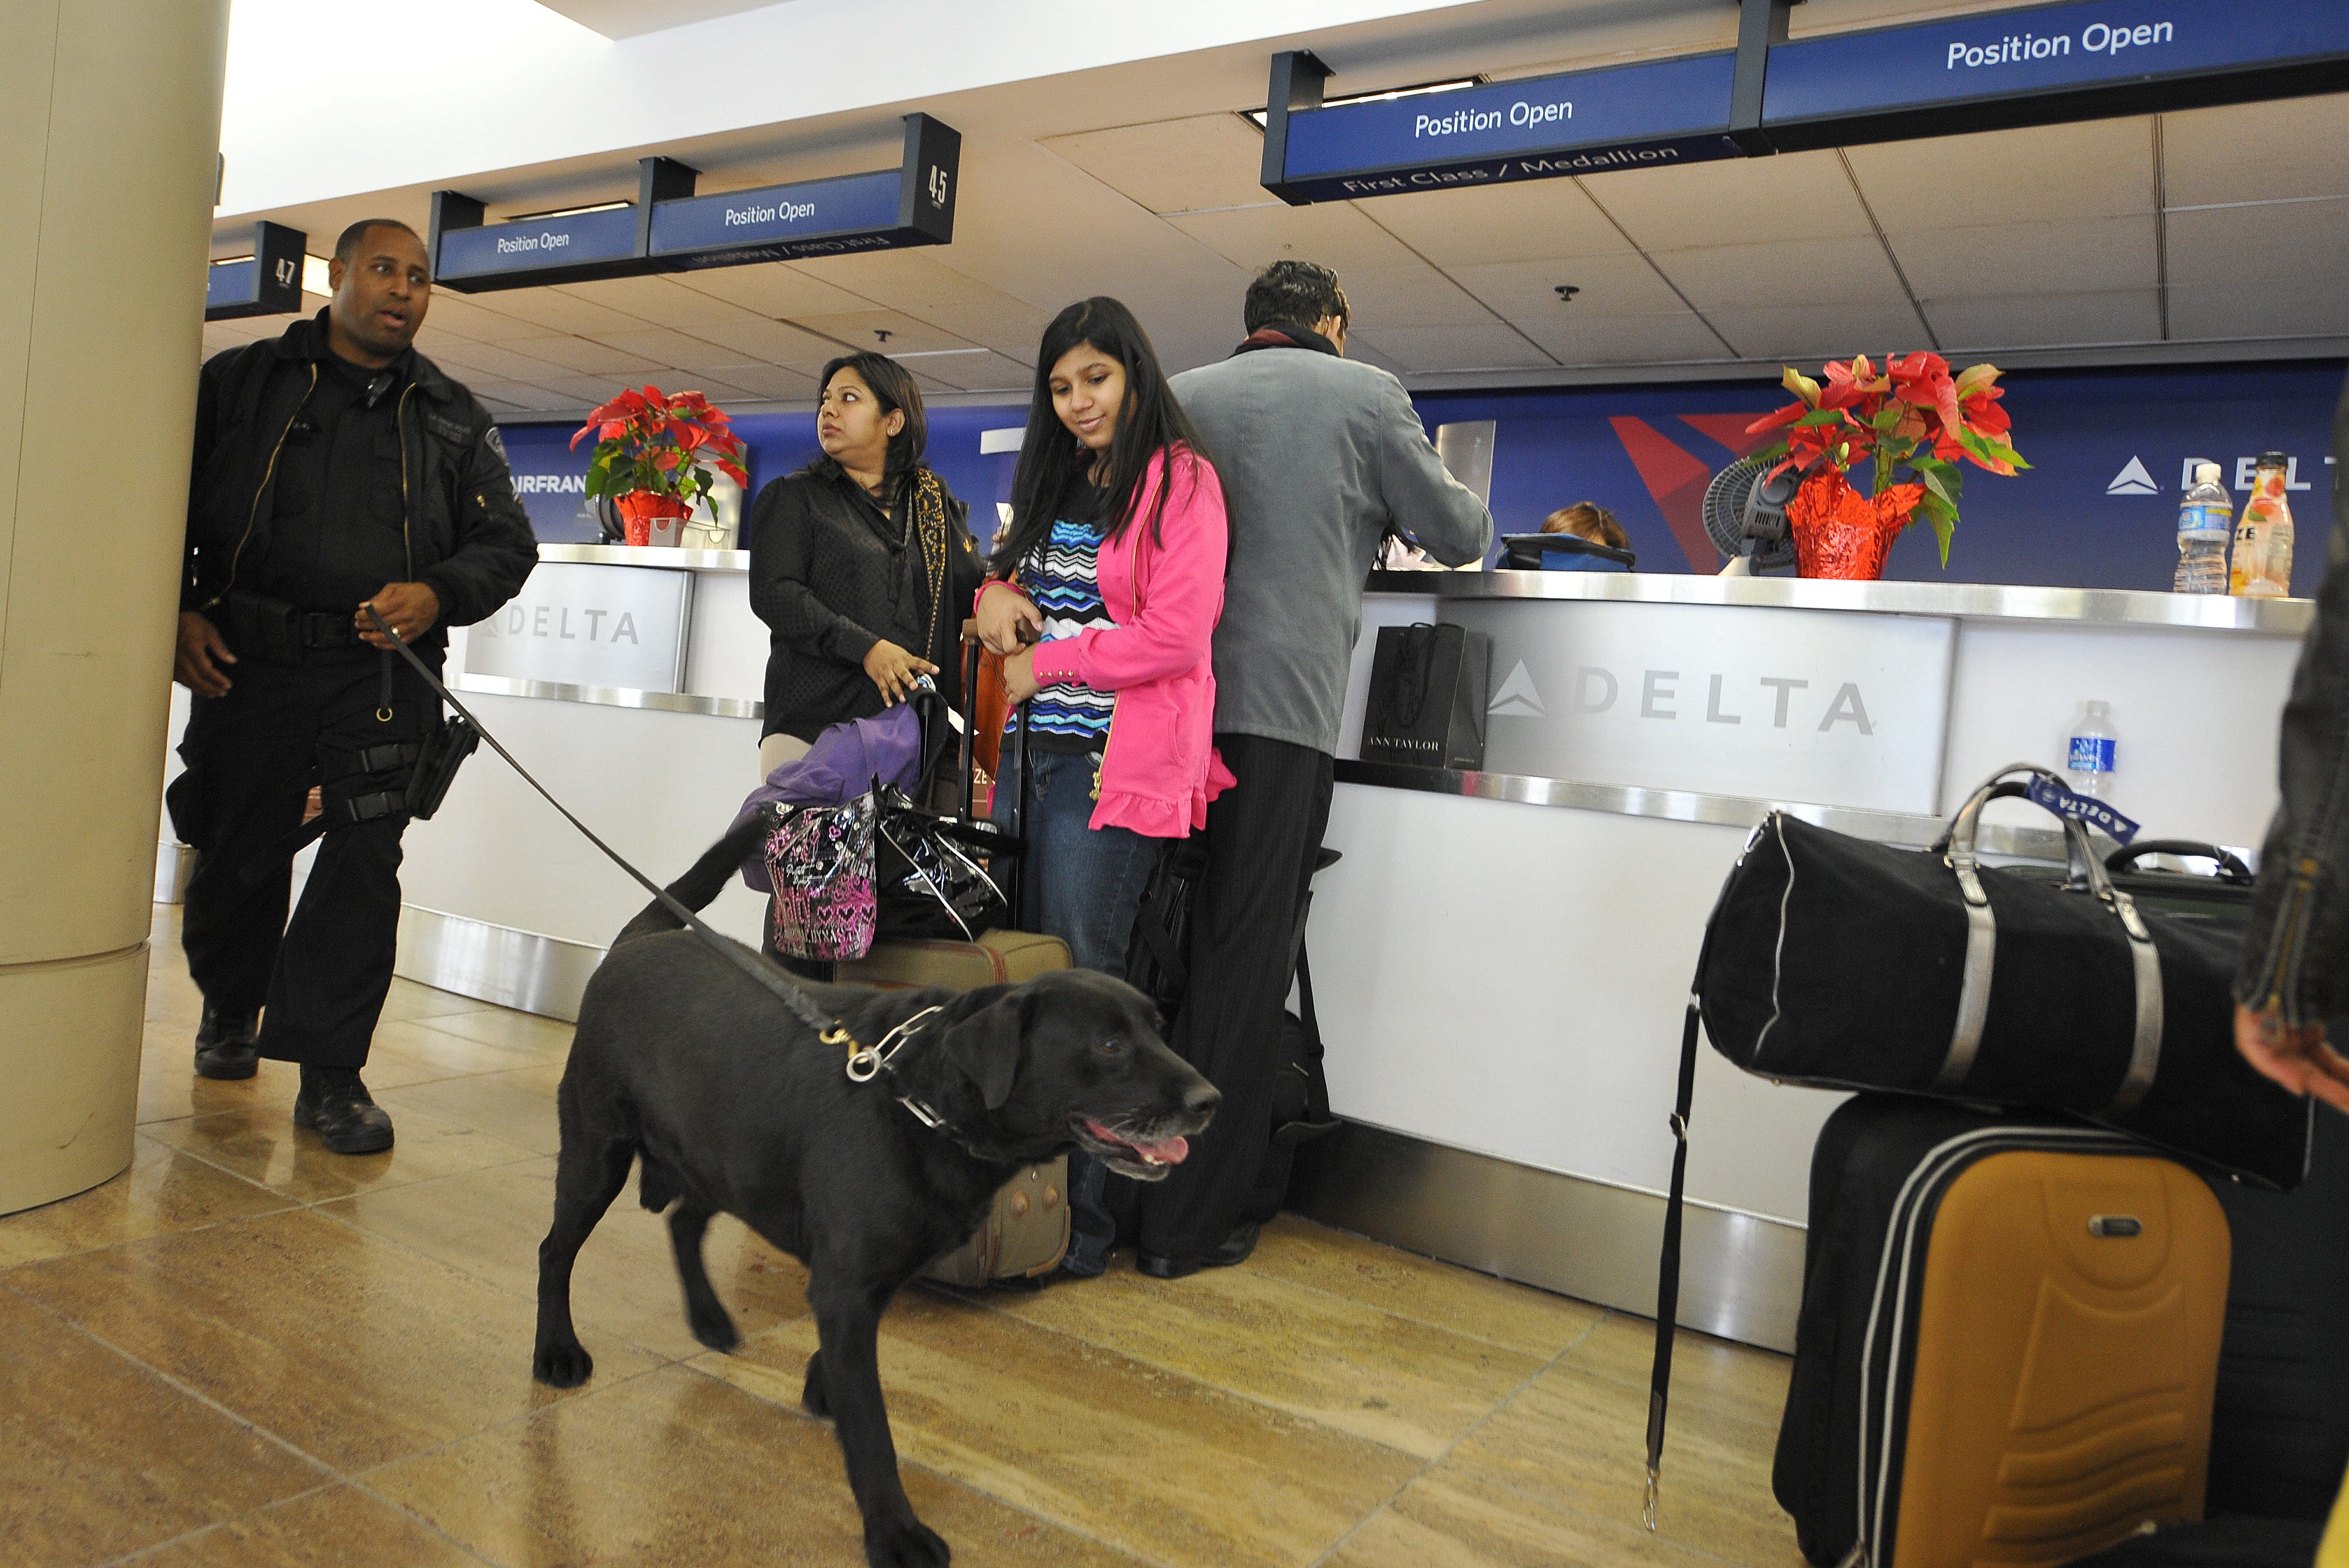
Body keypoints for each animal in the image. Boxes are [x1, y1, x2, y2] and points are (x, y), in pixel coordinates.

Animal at [531, 822, 1212, 1568]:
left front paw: (822, 1384)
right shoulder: (848, 1286)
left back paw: (709, 1319)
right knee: (554, 1252)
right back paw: (557, 1351)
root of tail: (638, 939)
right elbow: (872, 1433)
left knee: (683, 1220)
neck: (920, 1090)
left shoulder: (863, 1276)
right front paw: (895, 1532)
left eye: (1157, 1029)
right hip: (598, 1156)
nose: (1209, 1100)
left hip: (733, 1157)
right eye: (1110, 1045)